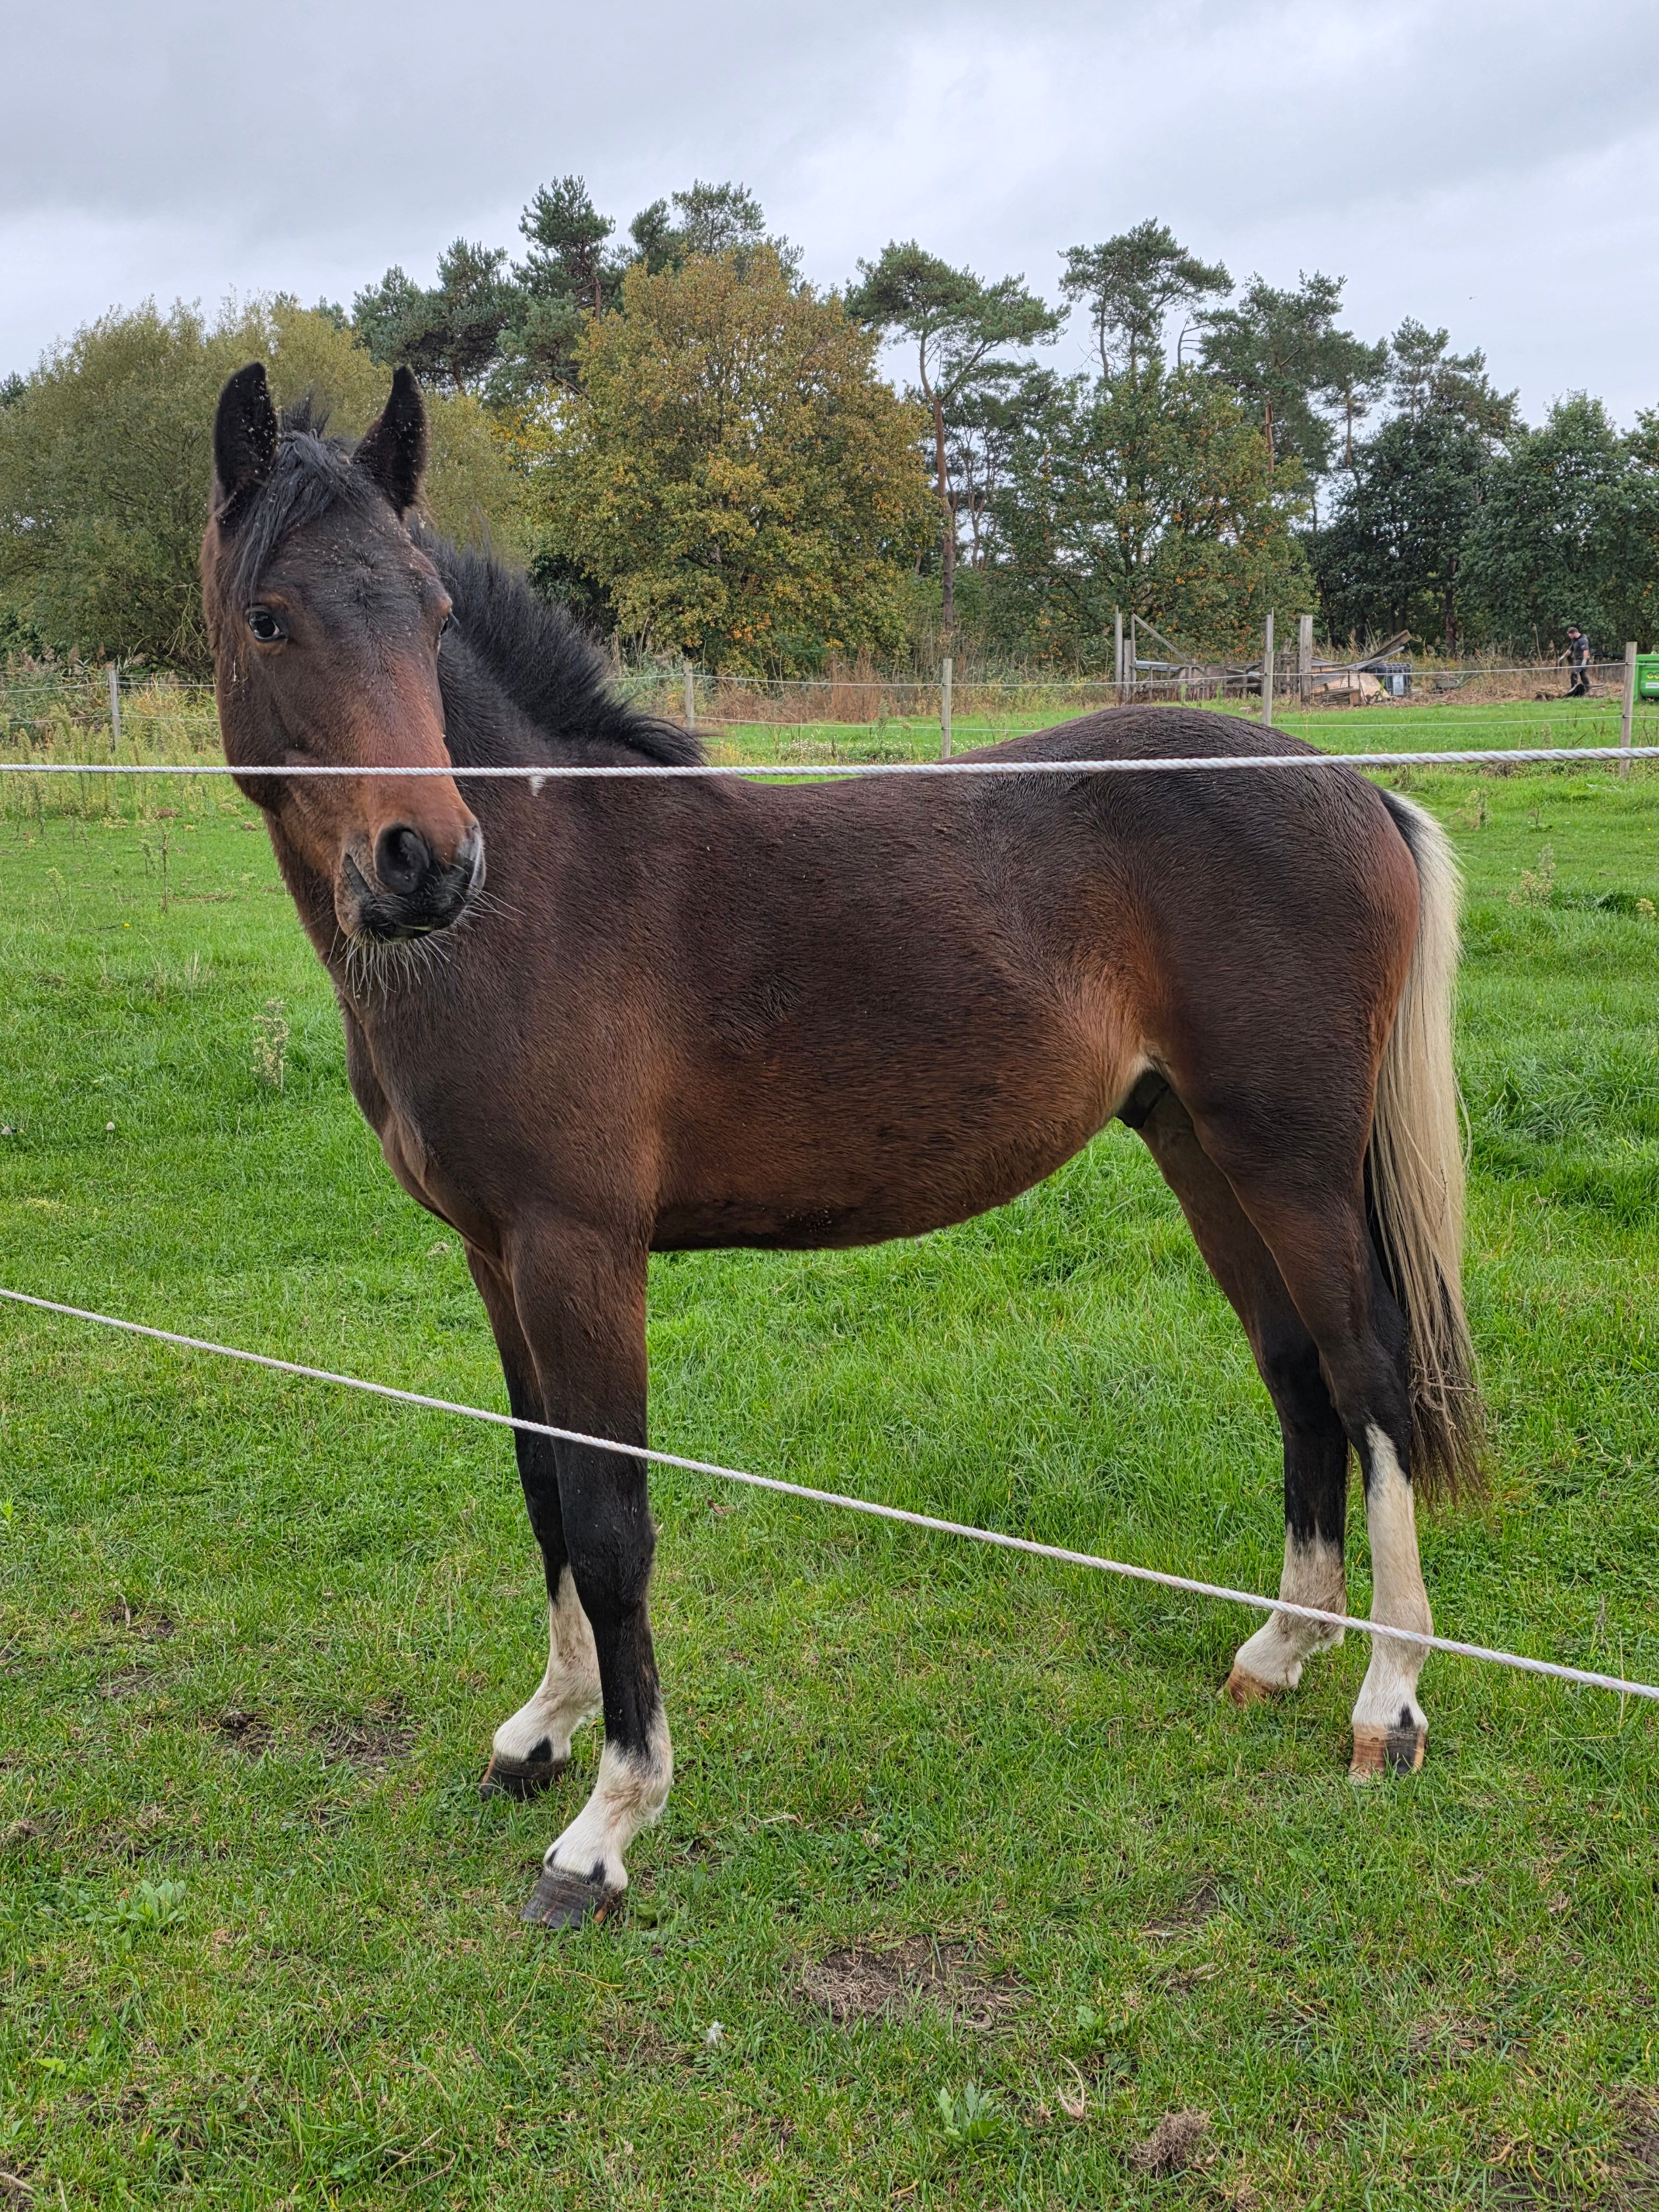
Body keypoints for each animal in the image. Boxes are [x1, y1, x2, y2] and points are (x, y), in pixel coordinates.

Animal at [202, 362, 1482, 1929]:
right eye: (272, 616)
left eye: (431, 614)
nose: (424, 861)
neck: (537, 899)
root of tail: (1357, 787)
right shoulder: (495, 1259)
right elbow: (542, 1488)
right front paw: (541, 1732)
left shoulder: (580, 1253)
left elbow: (612, 1519)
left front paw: (607, 1825)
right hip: (1200, 1149)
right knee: (1298, 1376)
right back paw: (1278, 1653)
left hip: (1289, 1159)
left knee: (1370, 1380)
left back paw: (1385, 1699)